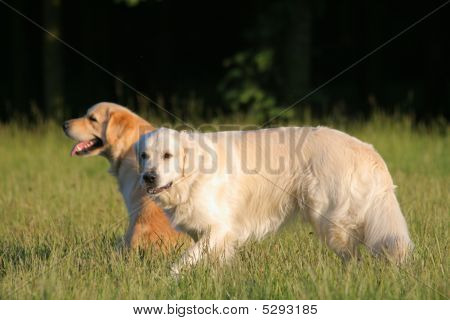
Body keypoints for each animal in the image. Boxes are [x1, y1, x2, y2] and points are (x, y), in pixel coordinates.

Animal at [135, 126, 414, 274]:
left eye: (168, 155)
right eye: (144, 155)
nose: (148, 177)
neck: (192, 174)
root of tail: (367, 150)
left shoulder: (221, 228)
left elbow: (182, 261)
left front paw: (168, 280)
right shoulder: (209, 235)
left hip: (331, 221)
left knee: (353, 258)